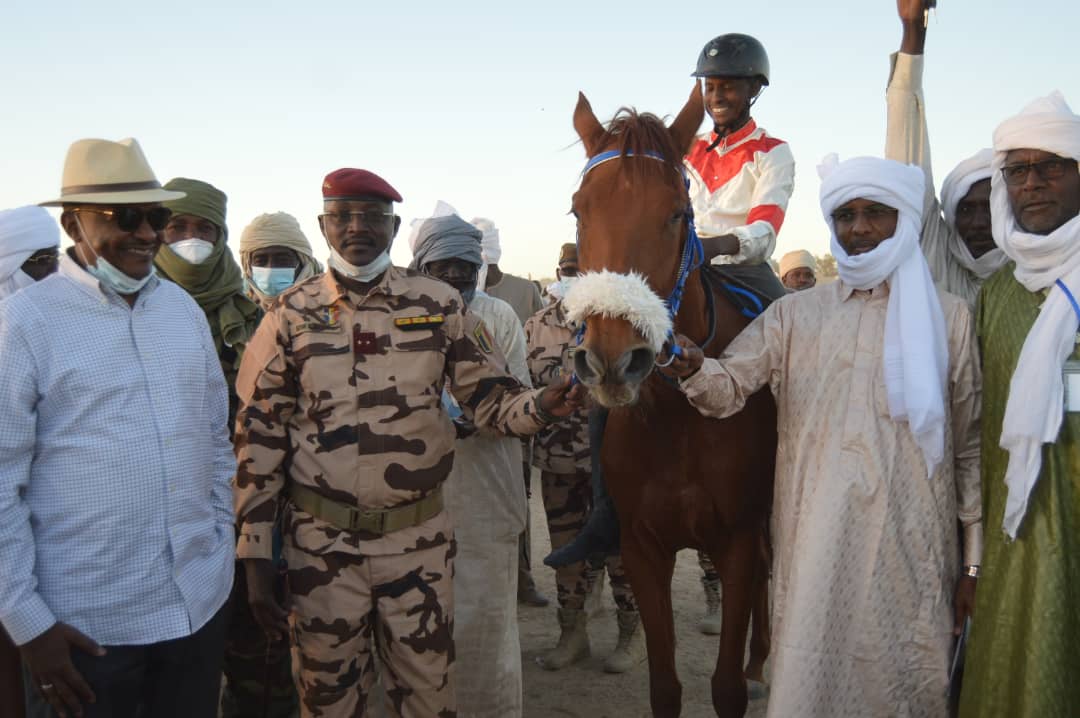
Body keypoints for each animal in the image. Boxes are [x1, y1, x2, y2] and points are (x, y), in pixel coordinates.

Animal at [565, 86, 777, 712]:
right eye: (578, 210)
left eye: (678, 213)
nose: (614, 358)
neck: (679, 423)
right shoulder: (642, 548)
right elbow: (665, 687)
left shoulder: (735, 542)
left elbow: (727, 688)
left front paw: (745, 672)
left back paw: (761, 665)